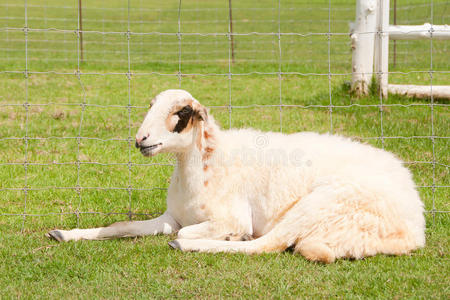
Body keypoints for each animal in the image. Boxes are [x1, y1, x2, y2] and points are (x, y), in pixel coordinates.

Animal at [49, 88, 426, 262]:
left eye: (181, 114)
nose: (141, 140)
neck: (205, 166)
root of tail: (415, 227)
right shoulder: (172, 216)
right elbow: (120, 226)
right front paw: (64, 234)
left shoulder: (229, 216)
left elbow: (197, 230)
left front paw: (223, 237)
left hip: (322, 204)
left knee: (266, 244)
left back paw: (195, 244)